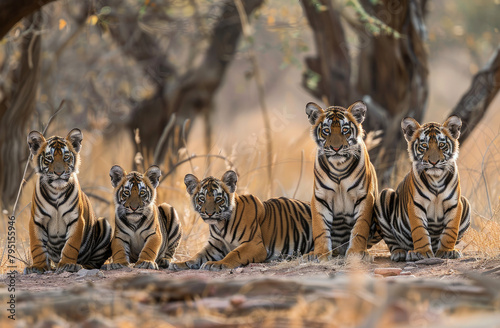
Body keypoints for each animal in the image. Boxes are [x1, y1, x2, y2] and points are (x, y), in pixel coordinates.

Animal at [23, 128, 112, 274]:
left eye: (66, 157)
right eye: (49, 158)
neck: (56, 191)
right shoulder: (37, 220)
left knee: (94, 262)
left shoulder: (76, 219)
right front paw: (38, 266)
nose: (59, 173)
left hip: (104, 224)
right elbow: (37, 246)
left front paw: (67, 264)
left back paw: (84, 266)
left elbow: (71, 245)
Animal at [171, 170, 312, 270]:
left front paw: (217, 264)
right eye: (201, 198)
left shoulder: (254, 244)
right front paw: (181, 263)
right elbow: (197, 255)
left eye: (218, 199)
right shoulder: (215, 245)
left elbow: (234, 253)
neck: (220, 225)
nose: (209, 213)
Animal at [304, 100, 378, 262]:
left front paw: (357, 253)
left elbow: (360, 227)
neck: (339, 166)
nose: (336, 148)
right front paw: (319, 253)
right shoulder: (320, 197)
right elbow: (320, 227)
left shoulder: (364, 196)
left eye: (345, 130)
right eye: (326, 130)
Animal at [376, 115, 472, 262]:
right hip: (385, 194)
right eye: (424, 146)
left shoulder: (455, 204)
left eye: (442, 145)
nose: (434, 162)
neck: (436, 179)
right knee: (391, 240)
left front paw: (447, 251)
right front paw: (421, 252)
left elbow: (450, 231)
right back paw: (399, 253)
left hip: (465, 201)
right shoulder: (416, 204)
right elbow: (419, 230)